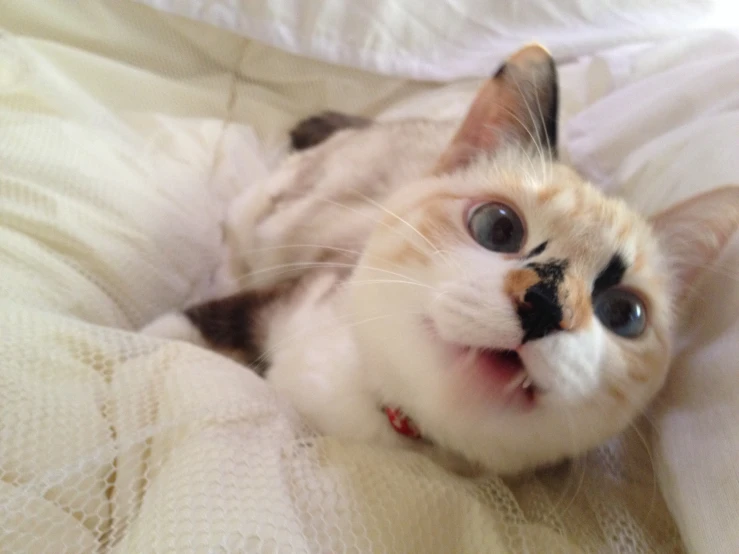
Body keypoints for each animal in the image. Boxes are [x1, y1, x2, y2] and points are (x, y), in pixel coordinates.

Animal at [145, 44, 739, 474]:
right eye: (498, 228)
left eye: (624, 314)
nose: (546, 305)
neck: (379, 421)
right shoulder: (289, 295)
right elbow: (175, 333)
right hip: (266, 216)